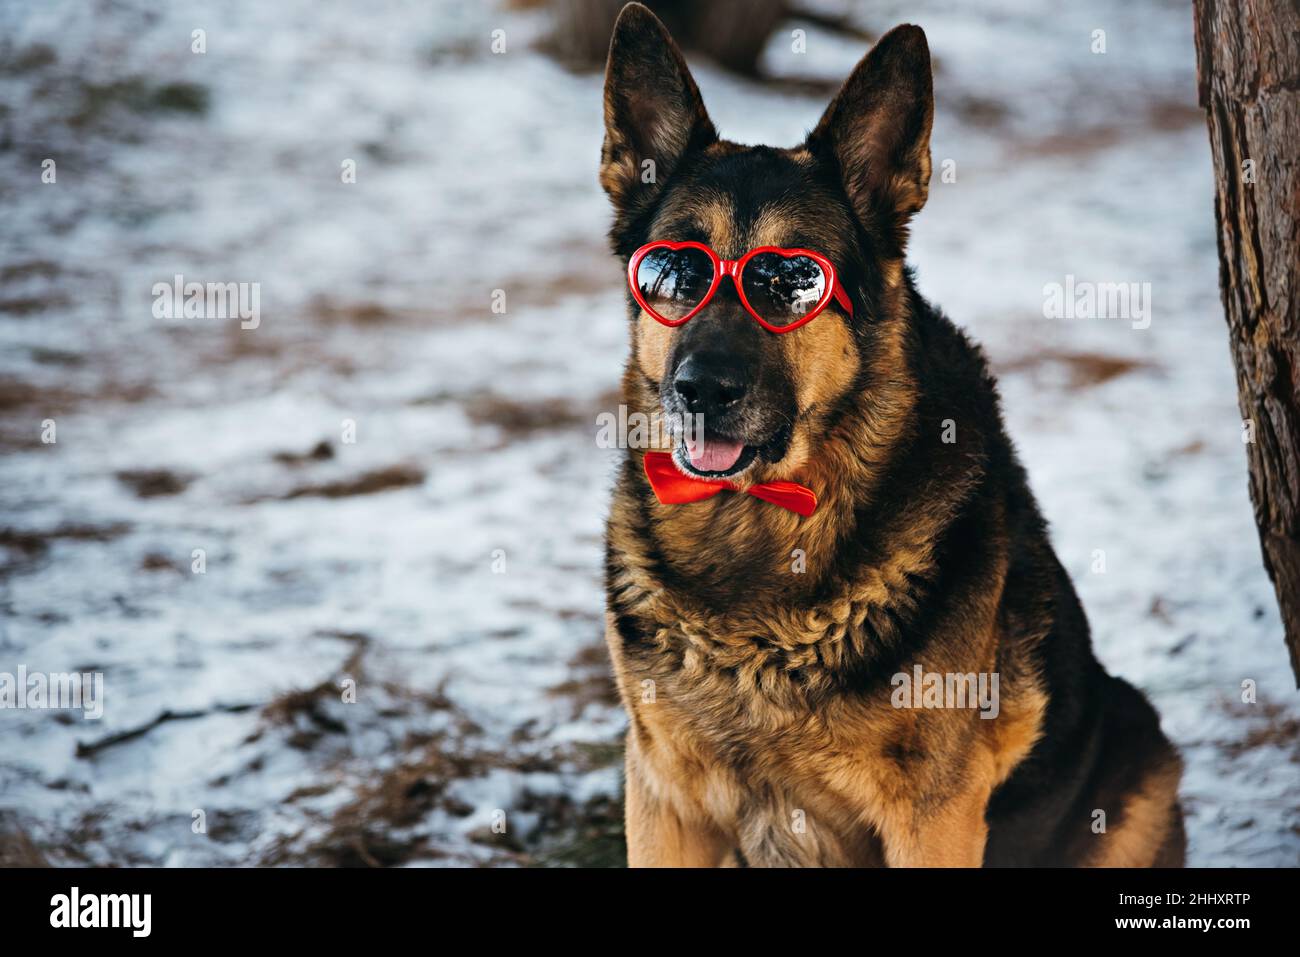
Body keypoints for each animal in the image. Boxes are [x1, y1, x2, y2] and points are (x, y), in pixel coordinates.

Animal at [598, 1, 1190, 868]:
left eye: (790, 280)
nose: (699, 390)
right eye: (674, 272)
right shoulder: (663, 796)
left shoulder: (932, 816)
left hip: (1139, 759)